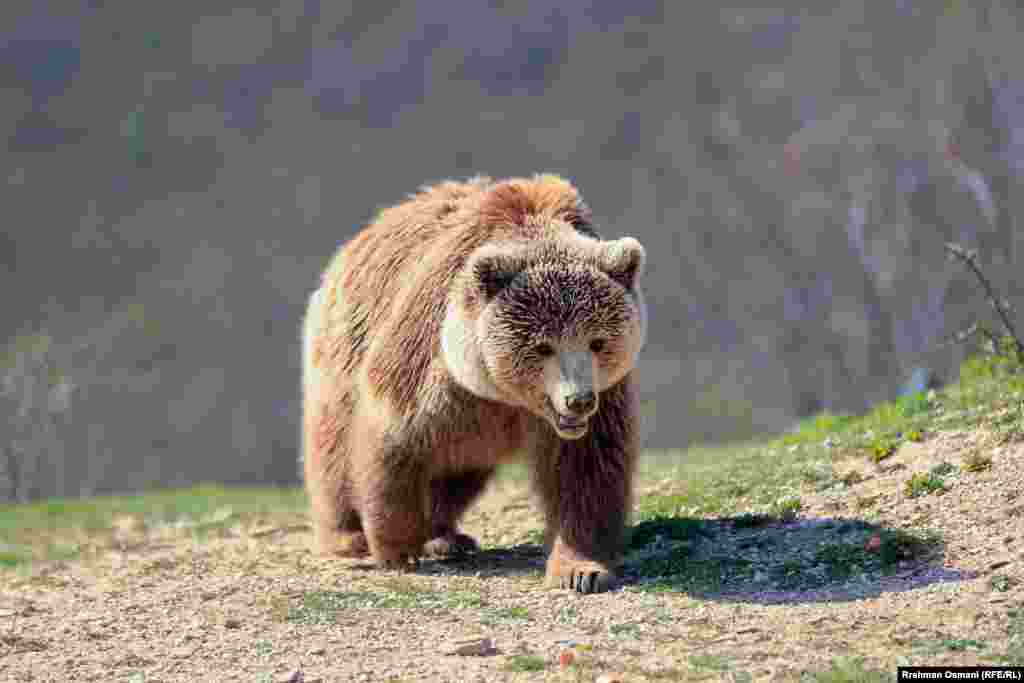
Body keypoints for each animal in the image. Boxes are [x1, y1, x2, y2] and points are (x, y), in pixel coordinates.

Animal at [299, 172, 643, 593]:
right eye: (543, 345)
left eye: (597, 341)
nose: (578, 400)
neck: (502, 392)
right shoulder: (429, 359)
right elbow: (394, 436)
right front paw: (395, 549)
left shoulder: (601, 396)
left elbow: (587, 466)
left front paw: (582, 570)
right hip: (344, 344)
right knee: (333, 446)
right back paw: (348, 536)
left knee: (458, 471)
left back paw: (444, 534)